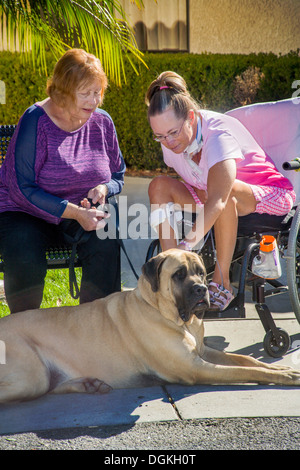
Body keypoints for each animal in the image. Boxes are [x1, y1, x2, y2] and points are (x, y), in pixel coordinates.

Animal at [0, 248, 300, 402]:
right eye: (179, 275)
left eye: (202, 272)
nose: (202, 289)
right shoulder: (196, 368)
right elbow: (244, 371)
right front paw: (285, 376)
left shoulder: (203, 352)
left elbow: (246, 361)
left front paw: (282, 367)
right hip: (32, 374)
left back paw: (89, 385)